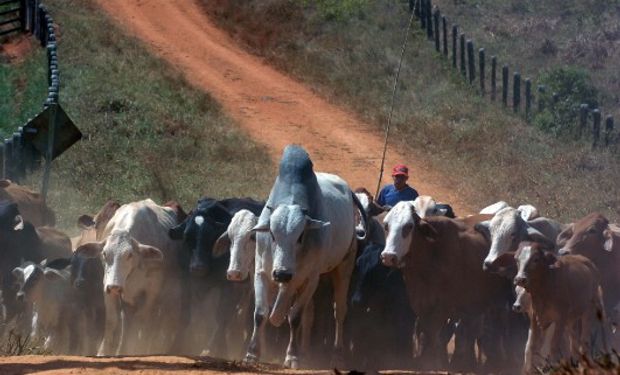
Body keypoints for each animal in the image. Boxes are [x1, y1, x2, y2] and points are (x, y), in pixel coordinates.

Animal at [73, 198, 184, 356]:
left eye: (130, 255)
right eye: (104, 253)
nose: (114, 286)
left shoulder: (151, 293)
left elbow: (143, 322)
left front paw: (138, 348)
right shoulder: (108, 288)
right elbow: (112, 321)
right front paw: (103, 353)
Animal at [170, 198, 264, 356]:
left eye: (210, 236)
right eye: (187, 237)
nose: (198, 267)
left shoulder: (229, 287)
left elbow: (221, 317)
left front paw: (218, 348)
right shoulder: (186, 281)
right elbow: (185, 315)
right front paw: (176, 345)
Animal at [380, 203, 512, 370]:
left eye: (409, 226)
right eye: (386, 225)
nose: (388, 256)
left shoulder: (442, 308)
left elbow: (433, 336)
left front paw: (433, 363)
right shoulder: (420, 304)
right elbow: (424, 332)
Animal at [512, 242, 604, 374]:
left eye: (536, 259)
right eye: (516, 259)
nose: (520, 279)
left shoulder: (560, 319)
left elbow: (553, 345)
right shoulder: (535, 318)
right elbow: (530, 346)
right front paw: (528, 370)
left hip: (588, 310)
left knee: (584, 339)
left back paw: (585, 364)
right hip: (571, 319)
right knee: (573, 340)